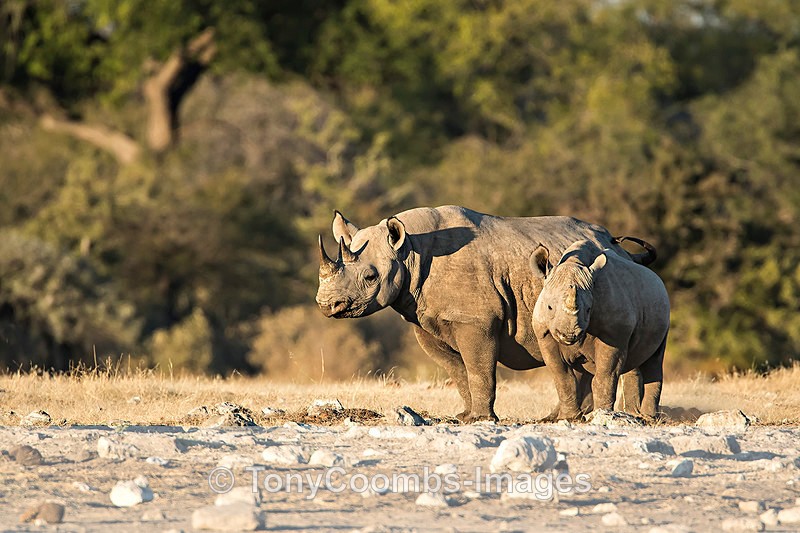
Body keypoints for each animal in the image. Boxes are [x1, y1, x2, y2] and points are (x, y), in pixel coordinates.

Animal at [315, 205, 654, 422]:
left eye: (371, 276)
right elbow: (457, 371)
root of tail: (617, 245)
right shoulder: (427, 322)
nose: (326, 305)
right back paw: (557, 418)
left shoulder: (476, 321)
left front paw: (482, 418)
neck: (409, 250)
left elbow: (478, 369)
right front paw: (464, 416)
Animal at [530, 239, 670, 420]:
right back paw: (632, 414)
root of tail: (657, 279)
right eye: (549, 307)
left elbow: (605, 376)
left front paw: (602, 414)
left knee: (654, 359)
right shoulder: (545, 334)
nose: (569, 335)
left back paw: (648, 417)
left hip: (663, 308)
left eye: (589, 309)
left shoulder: (614, 335)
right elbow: (563, 378)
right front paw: (569, 418)